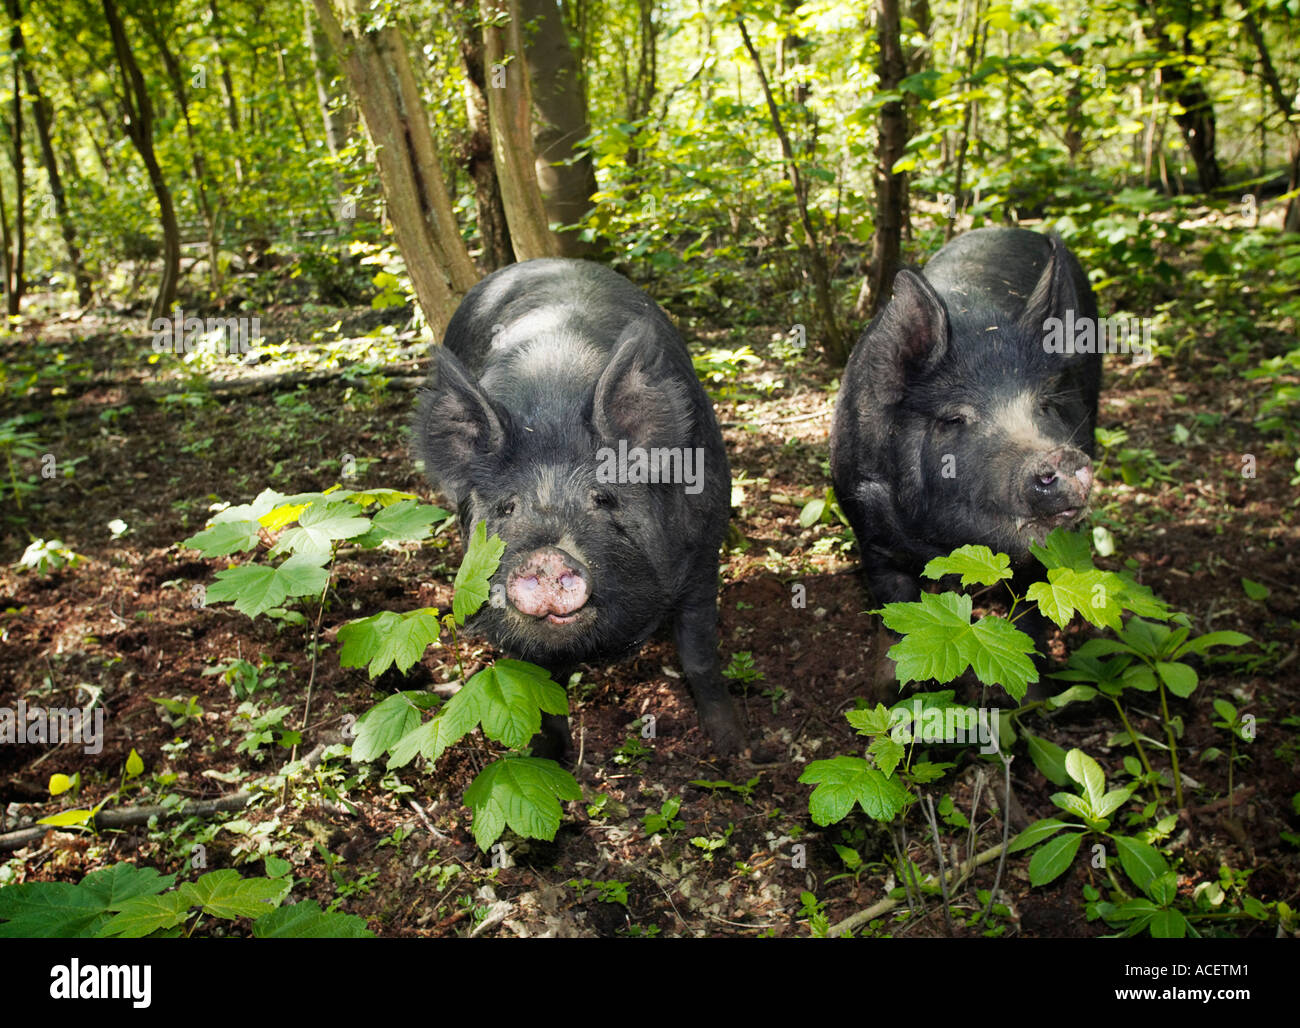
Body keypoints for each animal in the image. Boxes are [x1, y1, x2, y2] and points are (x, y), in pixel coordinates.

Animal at [413, 258, 743, 756]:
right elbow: (540, 686)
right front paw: (550, 759)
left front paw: (736, 747)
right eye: (507, 508)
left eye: (603, 499)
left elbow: (699, 651)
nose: (547, 557)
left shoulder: (705, 549)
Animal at [830, 228, 1102, 696]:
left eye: (1046, 405)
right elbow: (893, 615)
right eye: (954, 418)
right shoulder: (869, 535)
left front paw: (1032, 696)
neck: (943, 544)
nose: (1061, 457)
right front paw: (894, 692)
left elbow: (1030, 620)